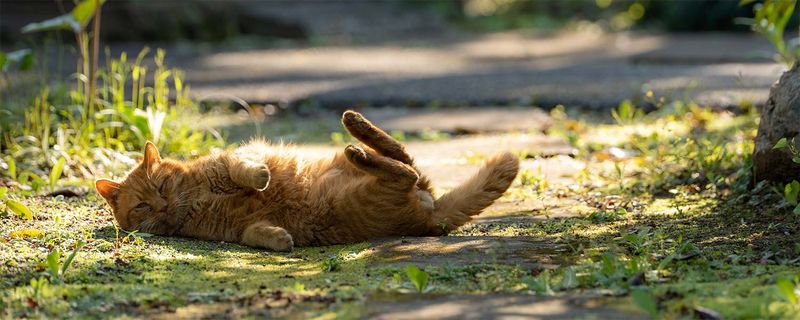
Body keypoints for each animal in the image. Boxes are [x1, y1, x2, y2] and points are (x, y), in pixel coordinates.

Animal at [95, 111, 520, 251]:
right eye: (143, 205)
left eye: (162, 187)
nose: (162, 205)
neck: (193, 199)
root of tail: (431, 217)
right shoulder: (235, 230)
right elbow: (255, 234)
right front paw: (279, 239)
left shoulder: (238, 154)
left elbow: (241, 167)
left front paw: (259, 177)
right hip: (378, 190)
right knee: (403, 168)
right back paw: (359, 144)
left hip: (380, 178)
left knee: (403, 160)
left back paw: (355, 129)